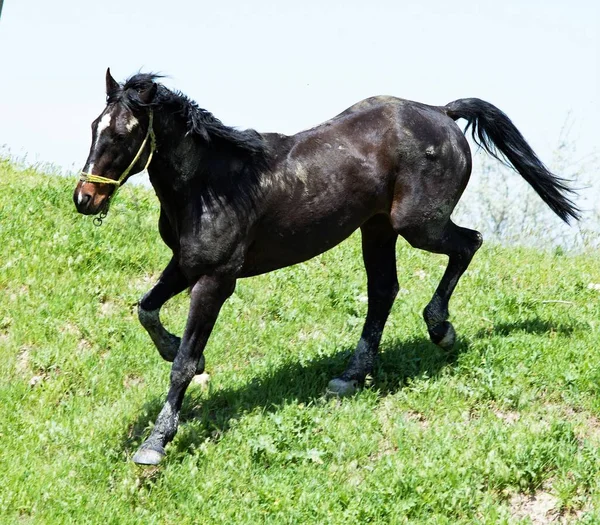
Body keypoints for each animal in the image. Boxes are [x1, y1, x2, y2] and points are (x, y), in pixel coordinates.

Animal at [72, 68, 580, 462]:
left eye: (124, 133)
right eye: (95, 125)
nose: (85, 198)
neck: (213, 185)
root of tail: (441, 111)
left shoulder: (215, 279)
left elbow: (179, 365)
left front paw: (156, 442)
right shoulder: (185, 264)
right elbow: (147, 309)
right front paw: (176, 348)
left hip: (418, 225)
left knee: (467, 245)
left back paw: (441, 329)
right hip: (377, 229)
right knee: (384, 291)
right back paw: (352, 376)